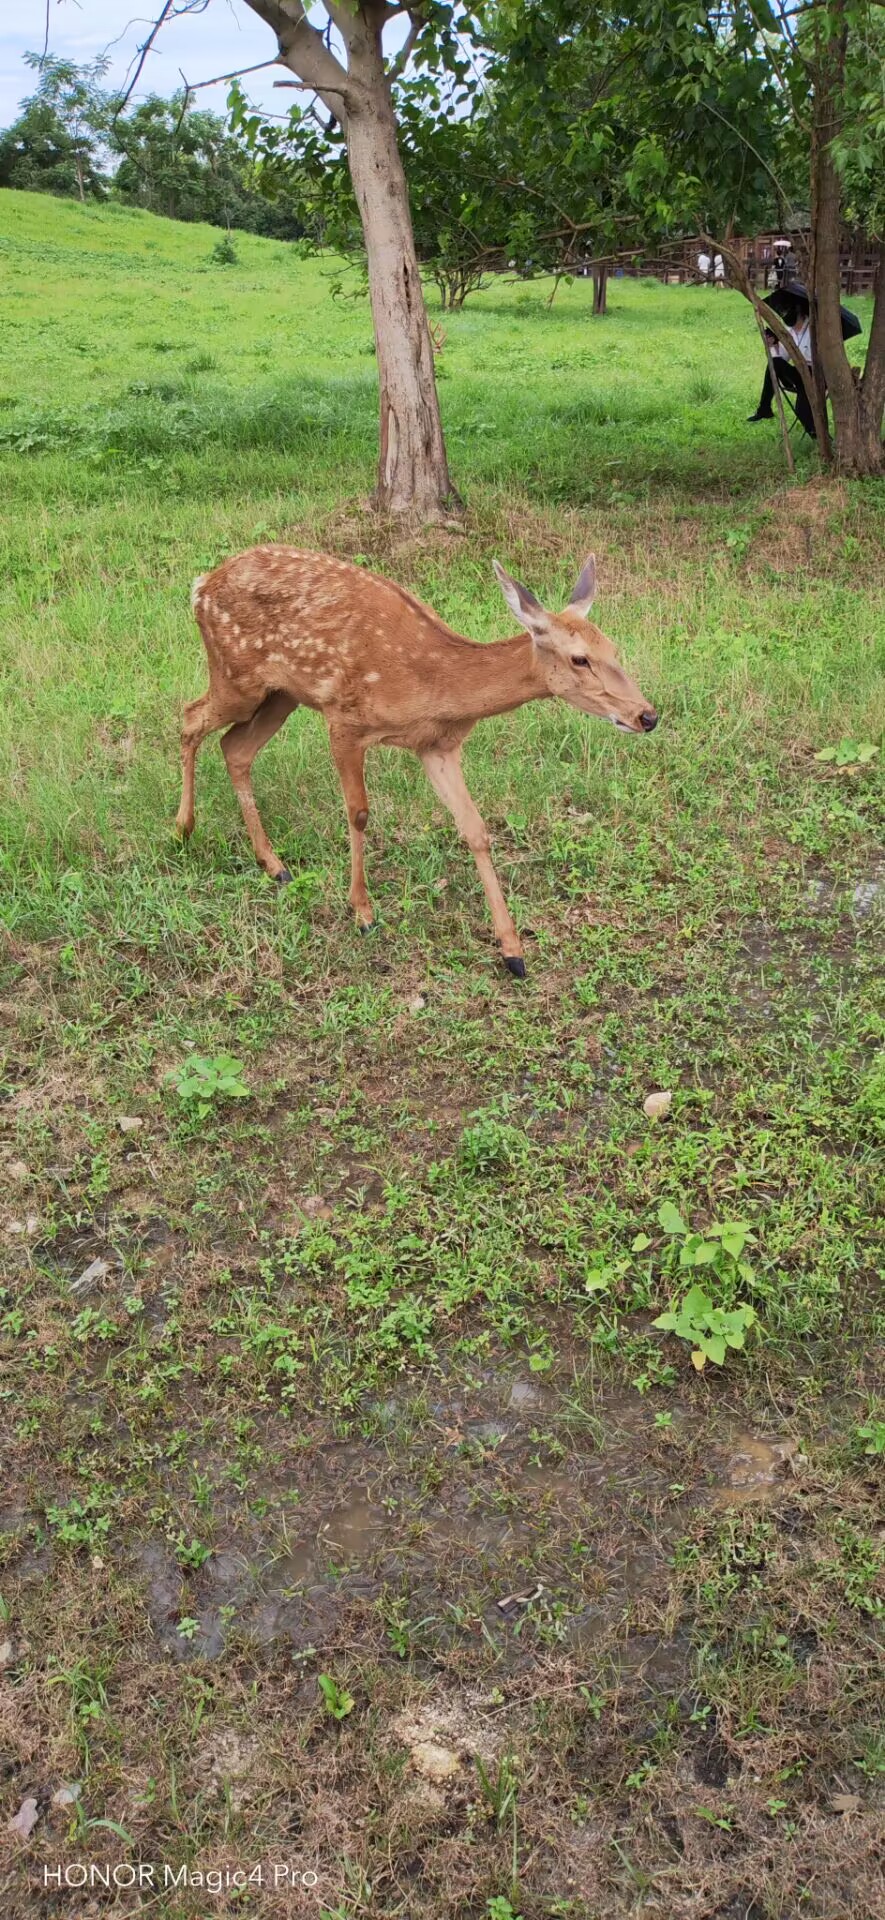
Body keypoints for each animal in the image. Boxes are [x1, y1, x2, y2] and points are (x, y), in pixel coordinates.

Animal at [175, 552, 656, 975]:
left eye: (614, 648)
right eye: (580, 658)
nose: (647, 716)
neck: (435, 685)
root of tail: (201, 584)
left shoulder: (437, 746)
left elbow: (476, 829)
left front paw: (512, 951)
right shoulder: (344, 720)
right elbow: (359, 812)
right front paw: (363, 912)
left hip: (281, 694)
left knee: (235, 748)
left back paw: (274, 865)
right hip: (237, 677)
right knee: (190, 718)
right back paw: (183, 828)